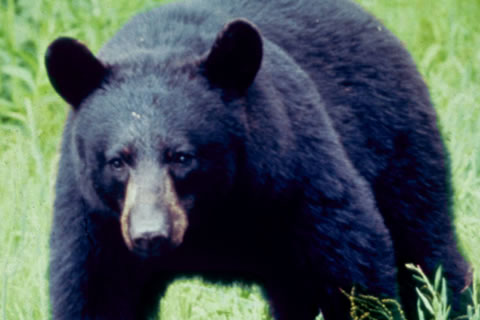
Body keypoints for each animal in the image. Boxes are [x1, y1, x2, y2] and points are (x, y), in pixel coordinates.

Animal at [46, 0, 472, 320]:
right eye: (117, 161)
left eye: (182, 156)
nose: (150, 235)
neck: (211, 220)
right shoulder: (96, 222)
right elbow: (95, 295)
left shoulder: (296, 179)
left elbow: (353, 267)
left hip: (398, 147)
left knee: (425, 249)